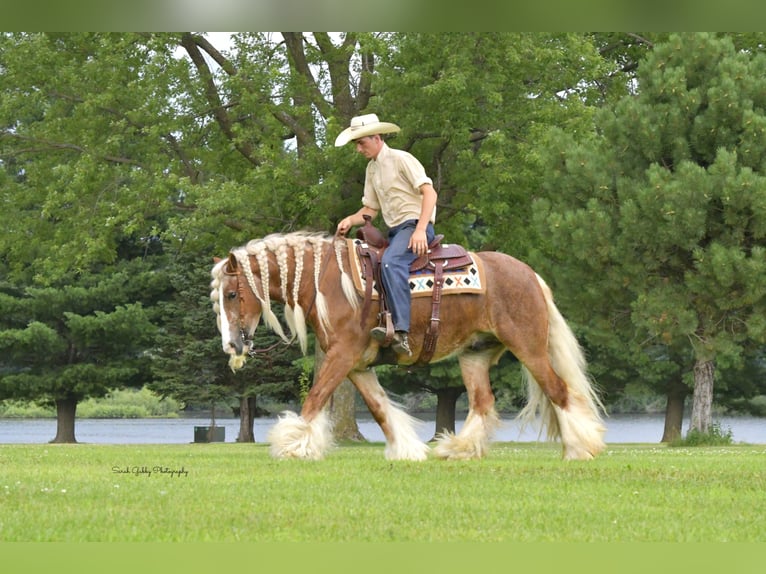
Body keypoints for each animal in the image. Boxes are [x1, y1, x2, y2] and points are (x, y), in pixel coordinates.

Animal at [210, 231, 606, 461]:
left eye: (231, 295)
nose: (231, 345)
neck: (328, 281)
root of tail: (530, 274)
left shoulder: (341, 356)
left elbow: (315, 399)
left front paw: (293, 444)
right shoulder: (358, 365)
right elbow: (380, 409)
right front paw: (407, 449)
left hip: (529, 348)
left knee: (559, 391)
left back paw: (579, 449)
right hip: (474, 354)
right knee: (482, 402)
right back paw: (459, 448)